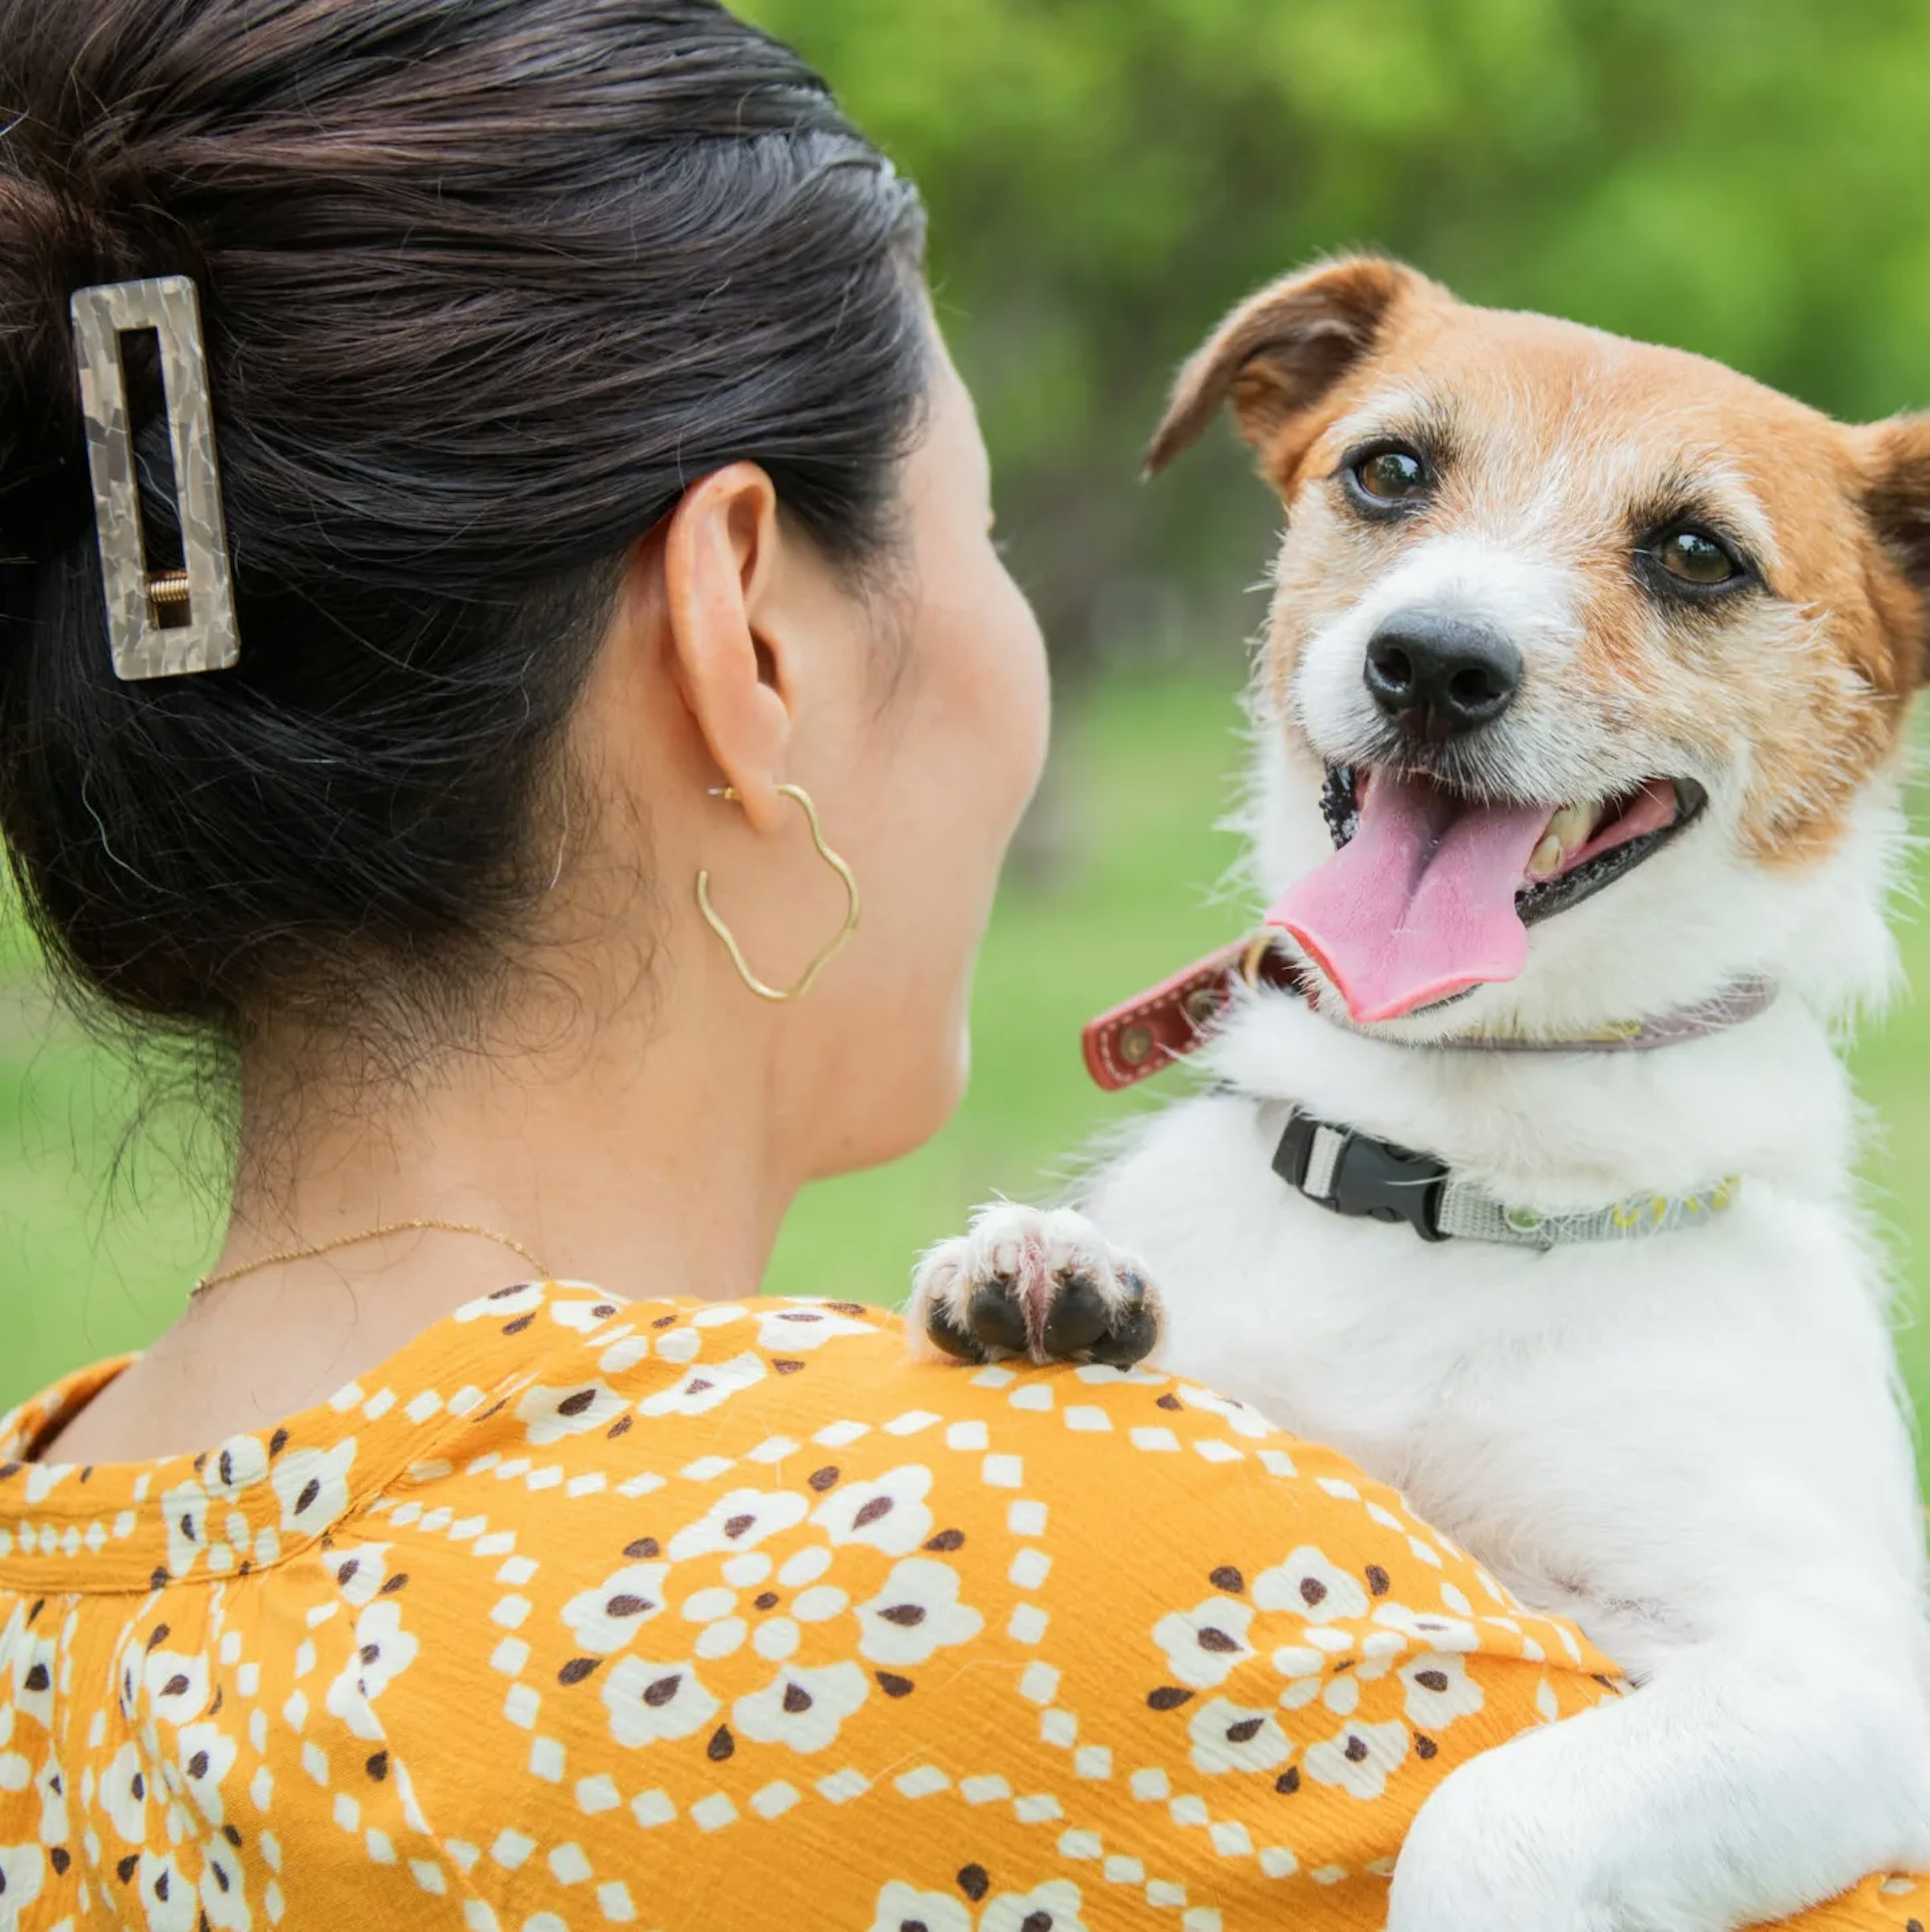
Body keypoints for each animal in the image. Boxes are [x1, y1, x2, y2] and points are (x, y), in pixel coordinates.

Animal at [912, 260, 1930, 1932]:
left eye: (1696, 554)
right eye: (1388, 470)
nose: (1436, 664)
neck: (1436, 1162)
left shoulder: (1834, 1670)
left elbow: (1495, 1809)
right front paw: (1049, 1269)